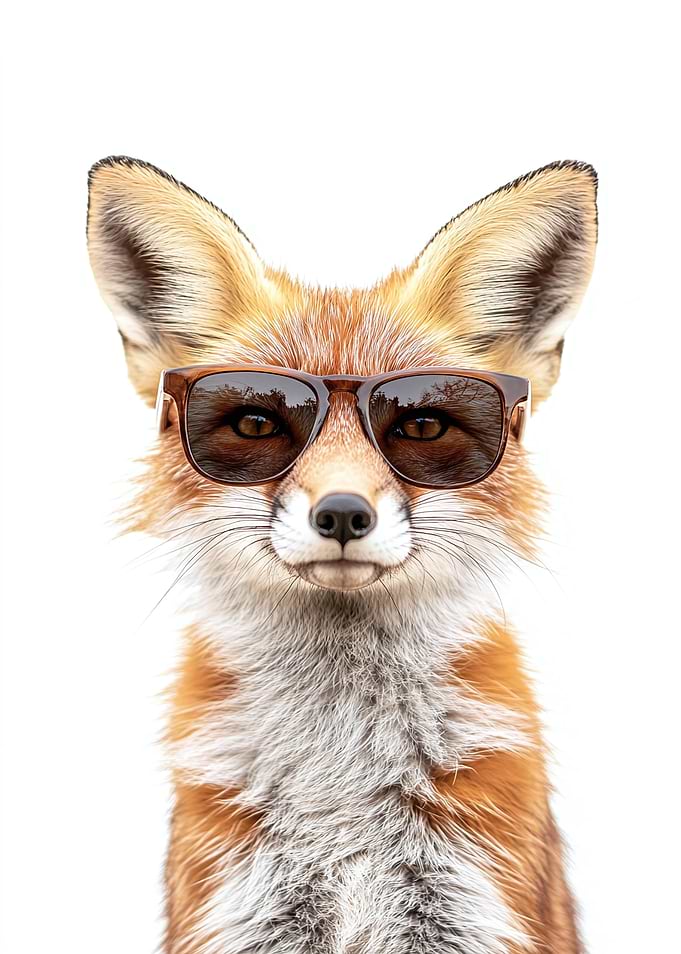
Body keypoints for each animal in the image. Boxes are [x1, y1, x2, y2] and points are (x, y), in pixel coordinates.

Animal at [87, 156, 597, 954]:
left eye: (422, 426)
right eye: (256, 423)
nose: (343, 514)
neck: (340, 783)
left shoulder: (471, 909)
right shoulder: (239, 915)